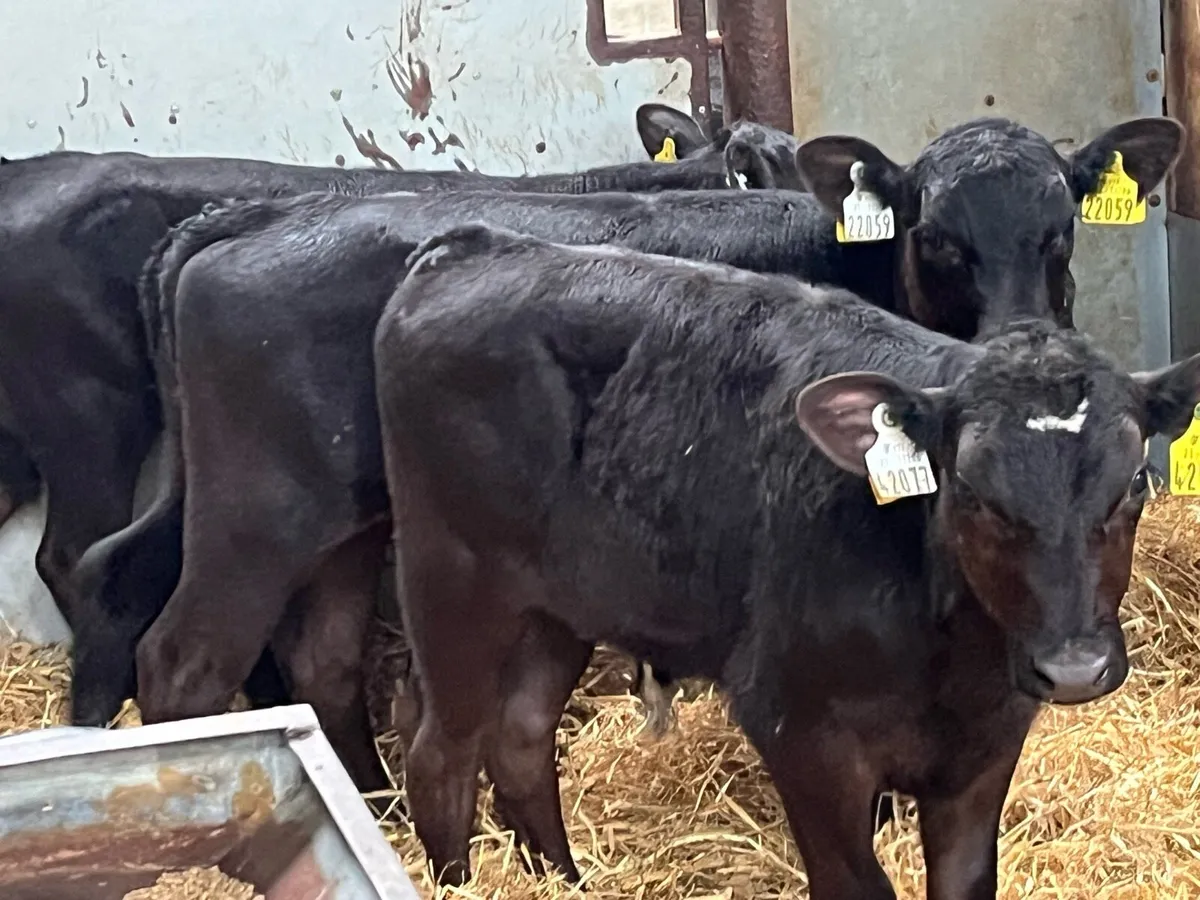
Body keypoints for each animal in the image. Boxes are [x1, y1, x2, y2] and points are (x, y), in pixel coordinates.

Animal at [118, 104, 1179, 798]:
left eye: (1062, 225)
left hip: (346, 522)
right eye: (936, 234)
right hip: (257, 515)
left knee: (325, 658)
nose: (1020, 327)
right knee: (179, 662)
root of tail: (241, 222)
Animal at [370, 223, 1200, 895]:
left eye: (1133, 480)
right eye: (968, 486)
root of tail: (473, 245)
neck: (949, 663)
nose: (1076, 669)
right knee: (440, 753)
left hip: (558, 604)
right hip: (451, 580)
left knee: (521, 737)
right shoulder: (798, 731)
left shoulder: (985, 748)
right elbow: (856, 886)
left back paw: (568, 884)